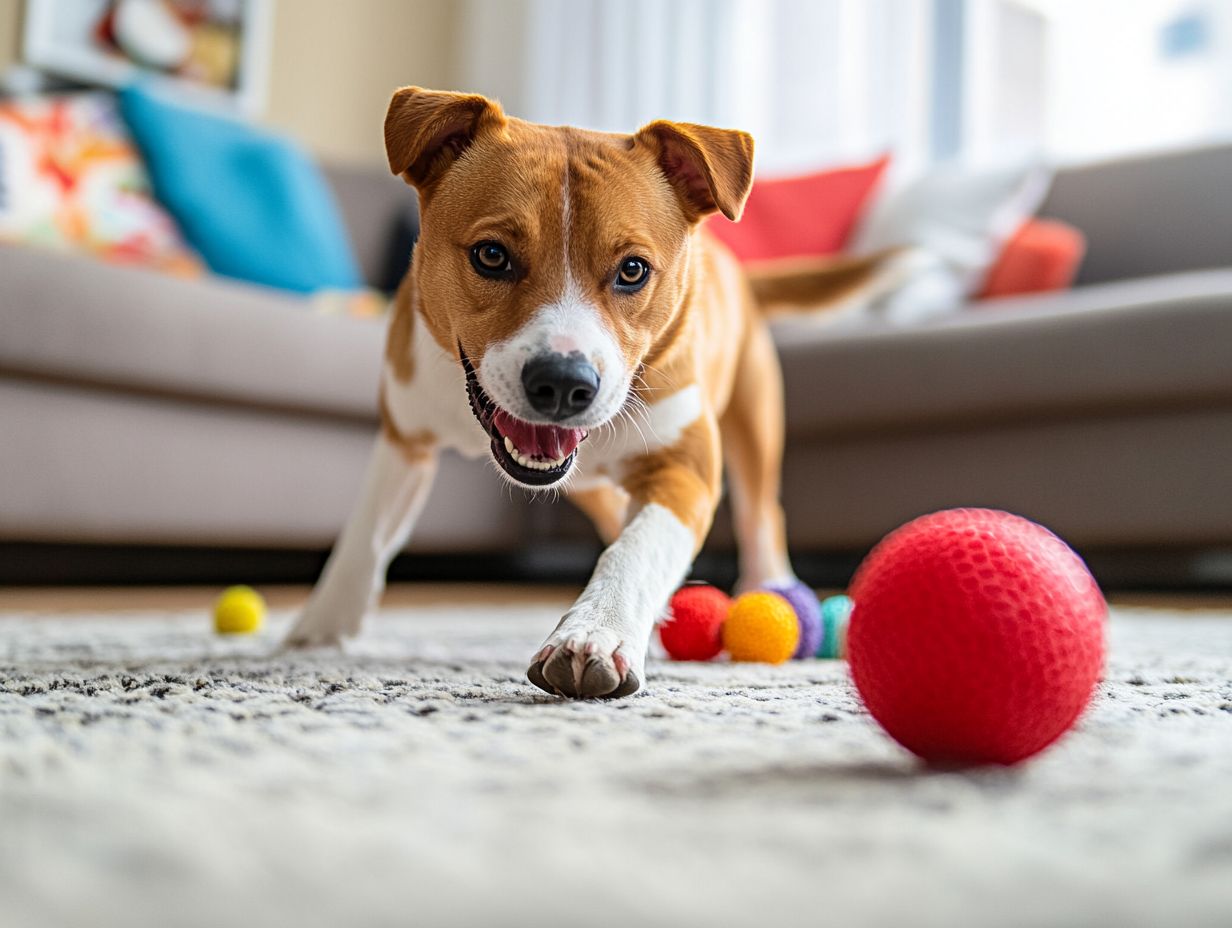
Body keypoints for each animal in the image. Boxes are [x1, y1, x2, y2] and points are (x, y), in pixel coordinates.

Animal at [283, 88, 891, 695]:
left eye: (633, 270)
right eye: (491, 255)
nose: (561, 382)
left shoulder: (686, 466)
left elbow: (639, 549)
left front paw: (595, 633)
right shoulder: (405, 434)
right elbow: (366, 531)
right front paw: (321, 628)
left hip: (755, 419)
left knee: (761, 514)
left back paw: (772, 586)